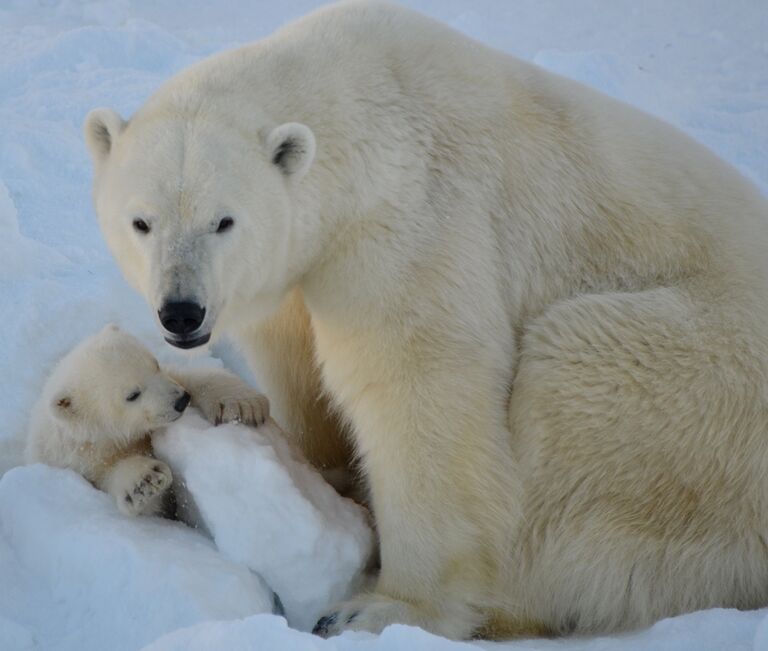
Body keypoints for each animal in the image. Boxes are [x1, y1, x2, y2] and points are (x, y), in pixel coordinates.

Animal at [26, 324, 270, 516]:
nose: (180, 401)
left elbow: (190, 376)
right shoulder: (83, 462)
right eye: (133, 394)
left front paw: (242, 405)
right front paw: (145, 481)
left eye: (155, 364)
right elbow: (145, 501)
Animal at [81, 0, 768, 640]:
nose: (182, 311)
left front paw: (381, 609)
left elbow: (419, 384)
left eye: (224, 220)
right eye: (141, 221)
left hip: (693, 391)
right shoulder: (303, 264)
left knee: (569, 393)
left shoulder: (414, 214)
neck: (356, 106)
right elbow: (296, 361)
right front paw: (311, 464)